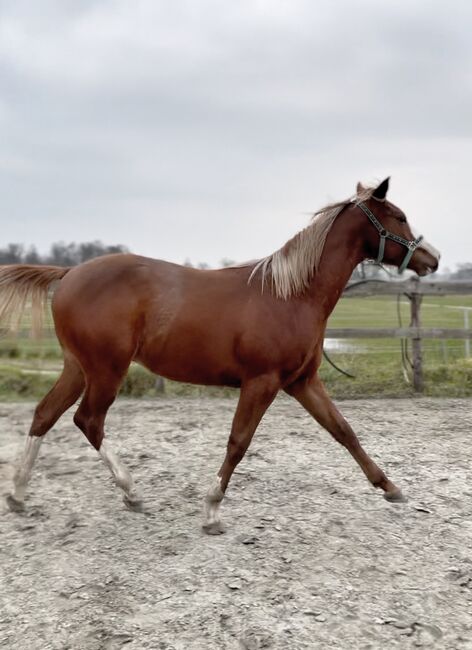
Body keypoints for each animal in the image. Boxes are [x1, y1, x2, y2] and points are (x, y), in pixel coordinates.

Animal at [2, 178, 438, 532]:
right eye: (400, 217)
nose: (432, 259)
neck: (292, 296)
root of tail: (68, 274)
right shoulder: (262, 382)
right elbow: (239, 441)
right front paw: (212, 511)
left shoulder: (303, 382)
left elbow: (344, 430)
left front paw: (390, 487)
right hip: (107, 370)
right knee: (88, 421)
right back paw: (132, 492)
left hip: (78, 367)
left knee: (44, 415)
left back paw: (19, 495)